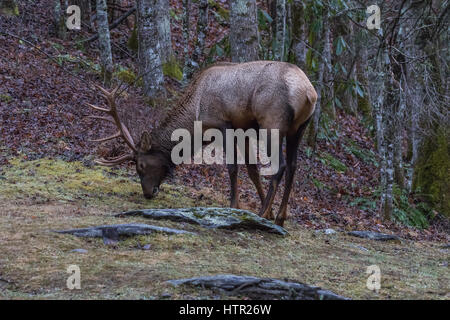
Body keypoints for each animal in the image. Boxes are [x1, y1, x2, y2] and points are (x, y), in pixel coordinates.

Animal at [88, 61, 316, 226]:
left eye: (141, 165)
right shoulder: (244, 129)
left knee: (281, 165)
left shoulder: (223, 124)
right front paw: (263, 209)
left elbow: (233, 167)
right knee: (293, 166)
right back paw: (279, 216)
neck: (195, 114)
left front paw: (235, 205)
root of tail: (309, 93)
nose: (148, 193)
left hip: (272, 123)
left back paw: (263, 213)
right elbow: (252, 170)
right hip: (299, 129)